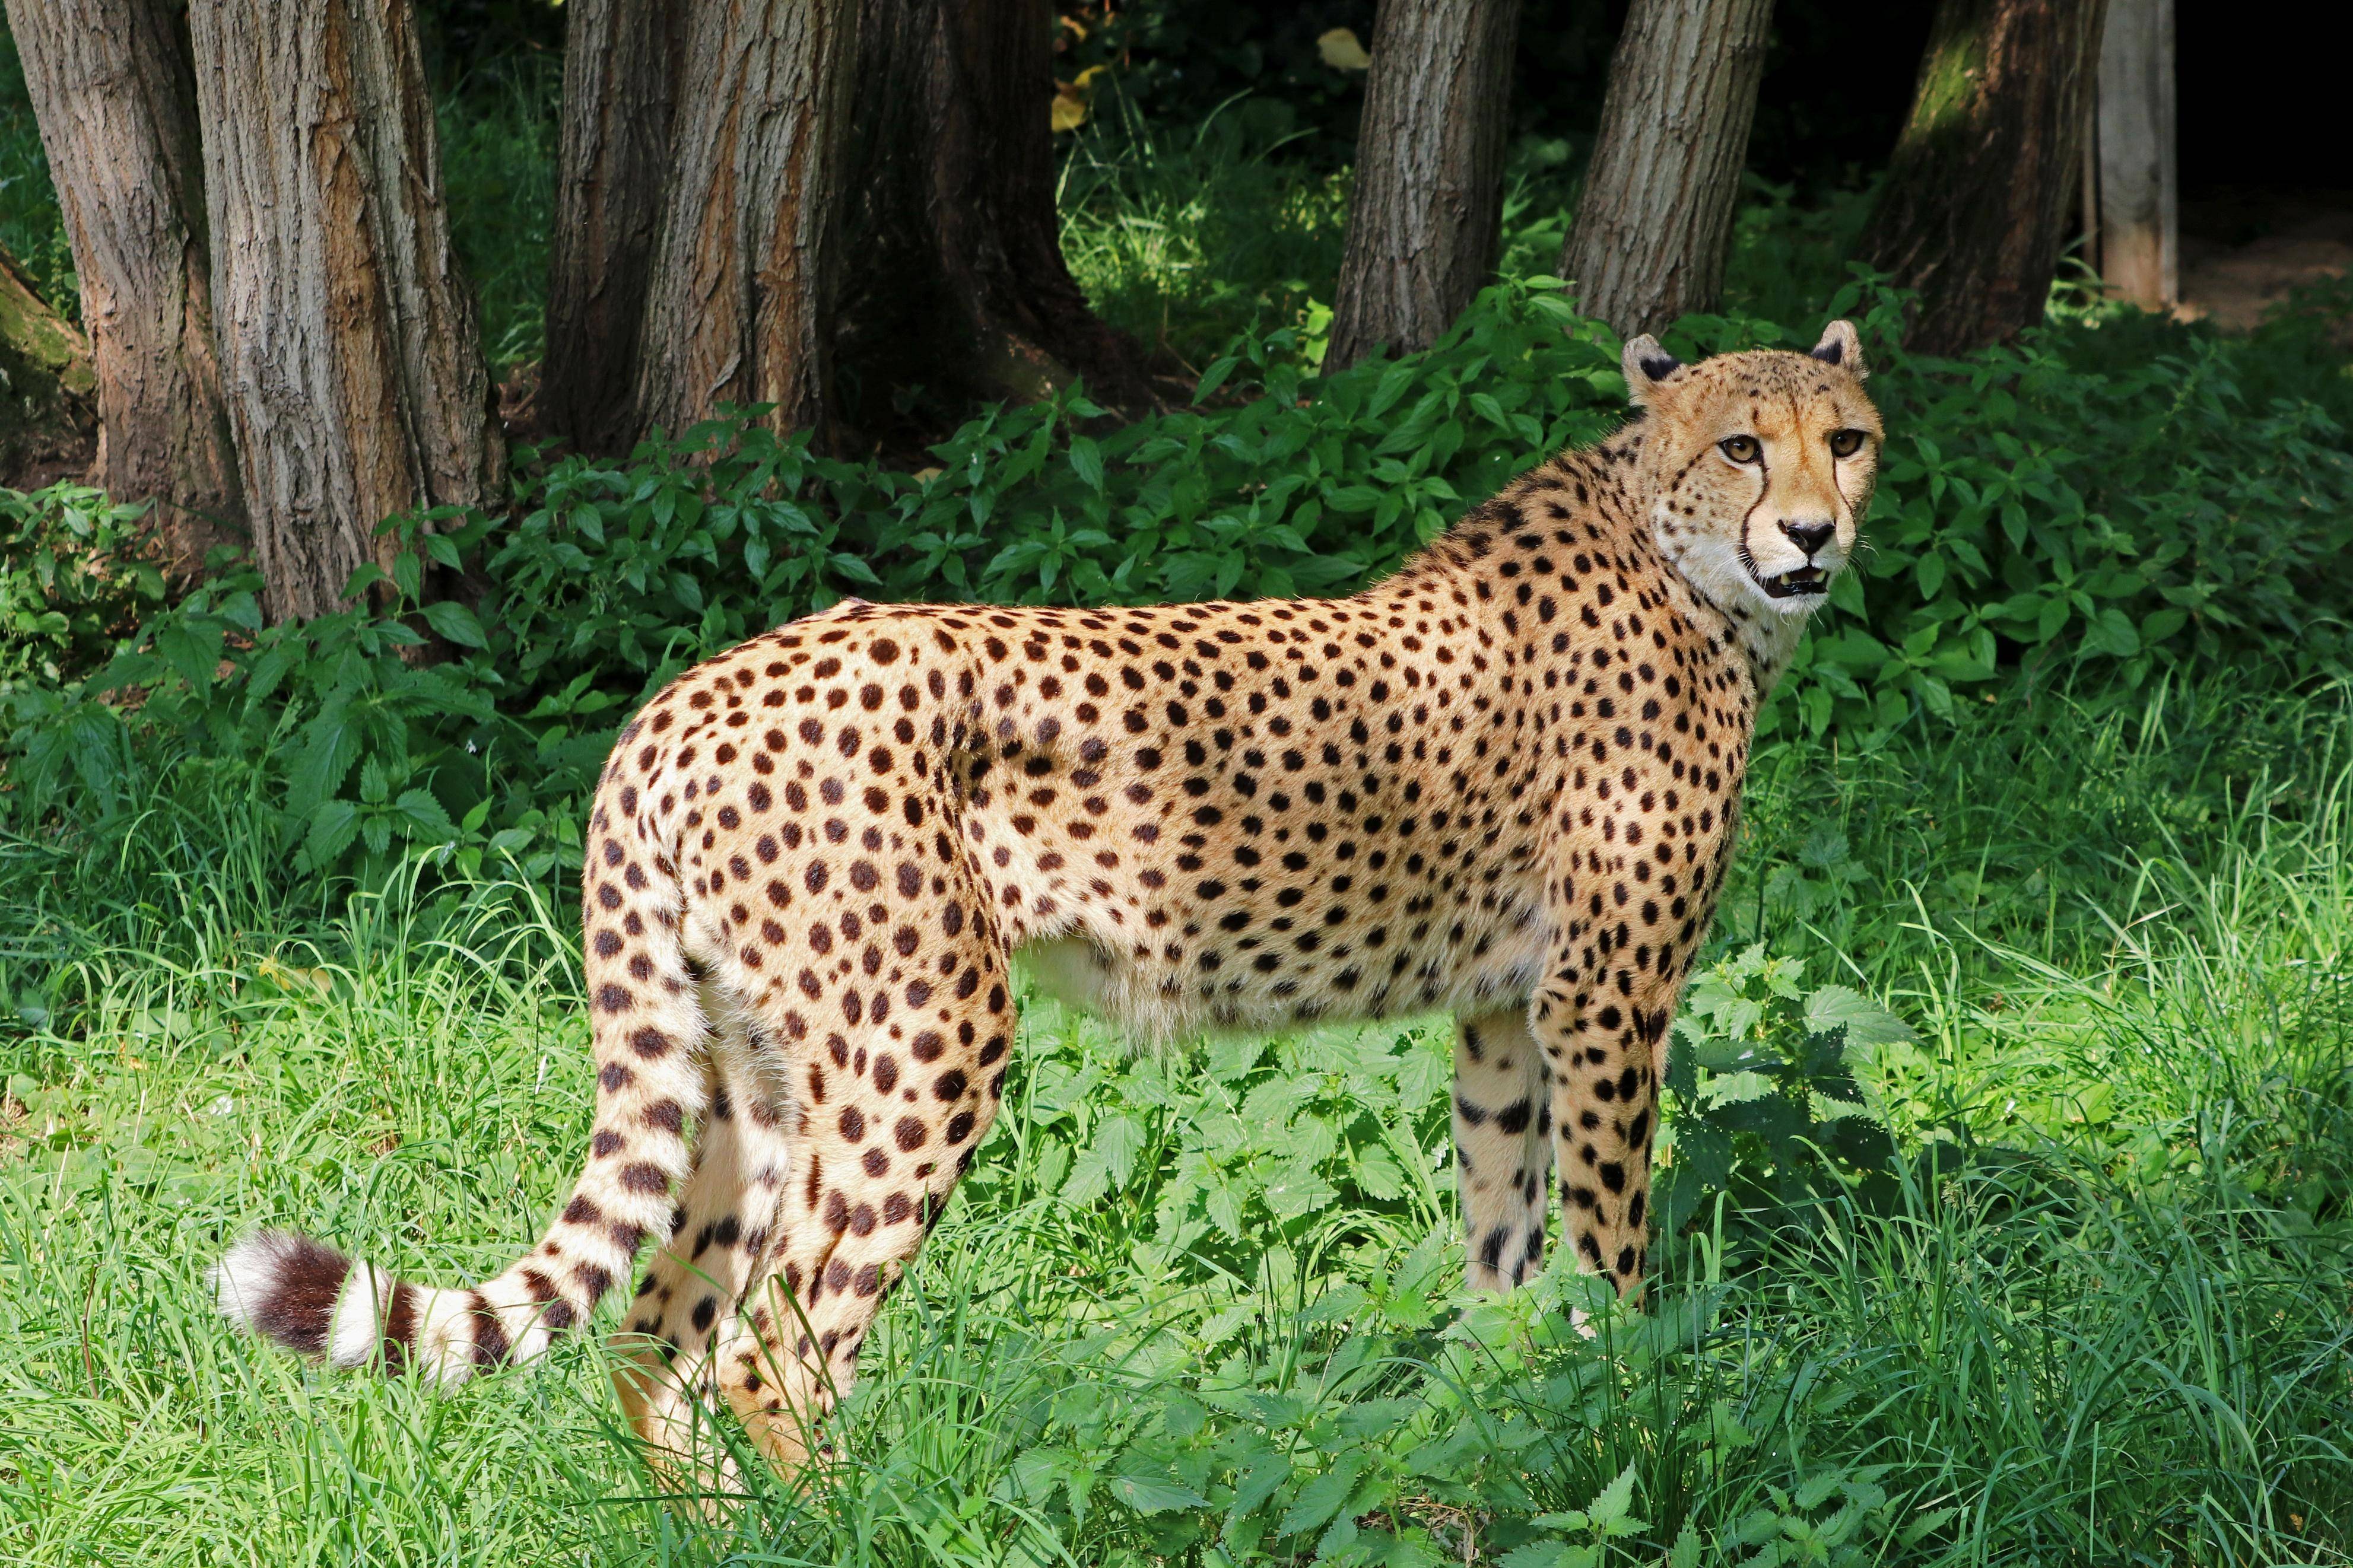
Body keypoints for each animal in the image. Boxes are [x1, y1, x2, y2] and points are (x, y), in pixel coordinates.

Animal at [216, 322, 1873, 1486]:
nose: (1813, 534)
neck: (1680, 561)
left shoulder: (1500, 1011)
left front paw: (1506, 1414)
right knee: (775, 1348)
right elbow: (1611, 1251)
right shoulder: (1605, 1001)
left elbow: (1506, 1239)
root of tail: (691, 688)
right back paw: (851, 1528)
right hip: (924, 1039)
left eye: (1845, 439)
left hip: (757, 1067)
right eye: (1741, 444)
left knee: (657, 1332)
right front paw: (1629, 1412)